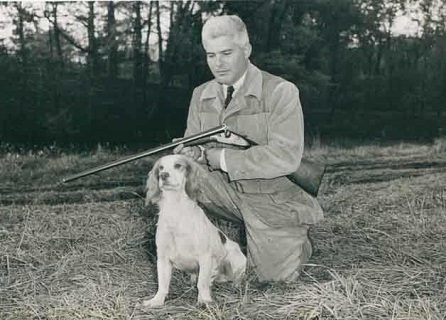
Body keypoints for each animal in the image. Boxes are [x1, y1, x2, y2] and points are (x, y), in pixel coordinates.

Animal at [142, 155, 246, 308]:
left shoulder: (205, 257)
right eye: (160, 167)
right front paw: (156, 300)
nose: (163, 175)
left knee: (236, 278)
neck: (176, 210)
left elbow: (201, 284)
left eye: (178, 166)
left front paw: (205, 301)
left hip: (237, 260)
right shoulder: (162, 258)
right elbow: (162, 284)